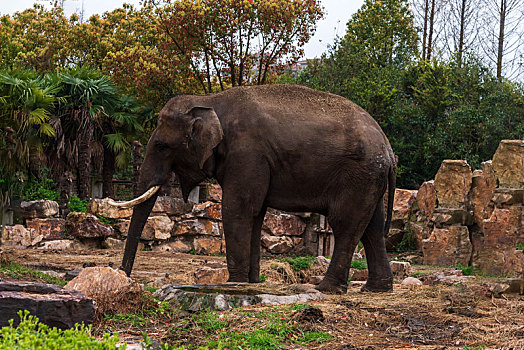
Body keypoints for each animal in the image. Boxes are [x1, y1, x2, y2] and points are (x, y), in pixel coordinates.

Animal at [111, 84, 398, 292]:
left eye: (161, 146)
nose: (124, 277)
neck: (210, 100)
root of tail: (387, 146)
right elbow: (256, 213)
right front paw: (250, 282)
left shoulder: (247, 153)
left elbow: (237, 209)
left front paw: (234, 283)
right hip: (370, 179)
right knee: (372, 227)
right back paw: (376, 289)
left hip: (358, 175)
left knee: (345, 224)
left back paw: (325, 289)